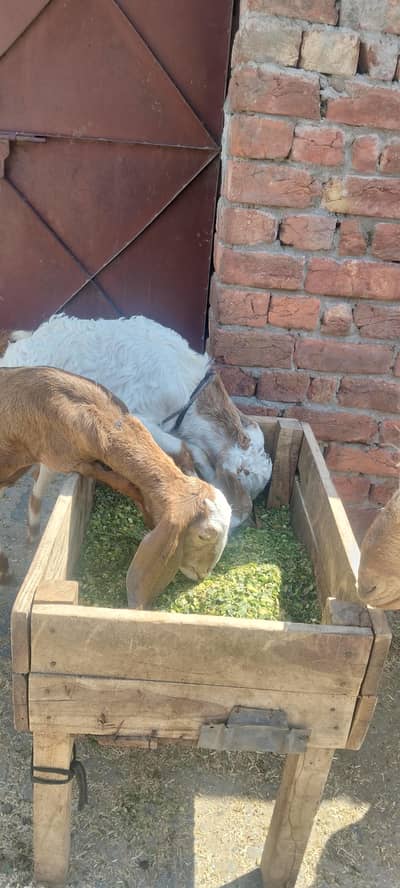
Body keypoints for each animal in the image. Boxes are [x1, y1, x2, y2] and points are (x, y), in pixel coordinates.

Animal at [1, 315, 272, 537]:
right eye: (245, 477)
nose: (240, 518)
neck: (188, 392)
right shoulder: (139, 417)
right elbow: (182, 448)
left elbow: (196, 450)